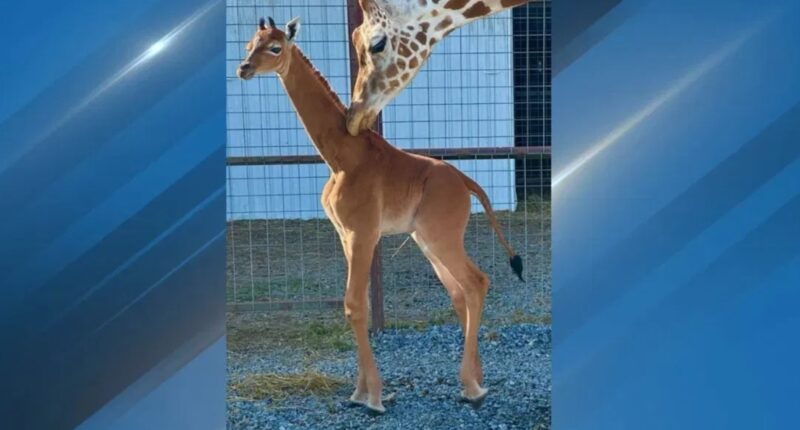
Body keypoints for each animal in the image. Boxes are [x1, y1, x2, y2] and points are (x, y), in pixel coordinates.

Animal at [237, 17, 524, 414]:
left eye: (275, 47)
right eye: (249, 44)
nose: (243, 69)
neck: (341, 157)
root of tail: (466, 182)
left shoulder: (363, 233)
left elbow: (354, 304)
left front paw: (372, 397)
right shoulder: (345, 235)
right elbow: (357, 305)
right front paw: (359, 392)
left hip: (442, 236)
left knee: (476, 282)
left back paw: (472, 387)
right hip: (426, 240)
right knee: (459, 290)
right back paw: (476, 380)